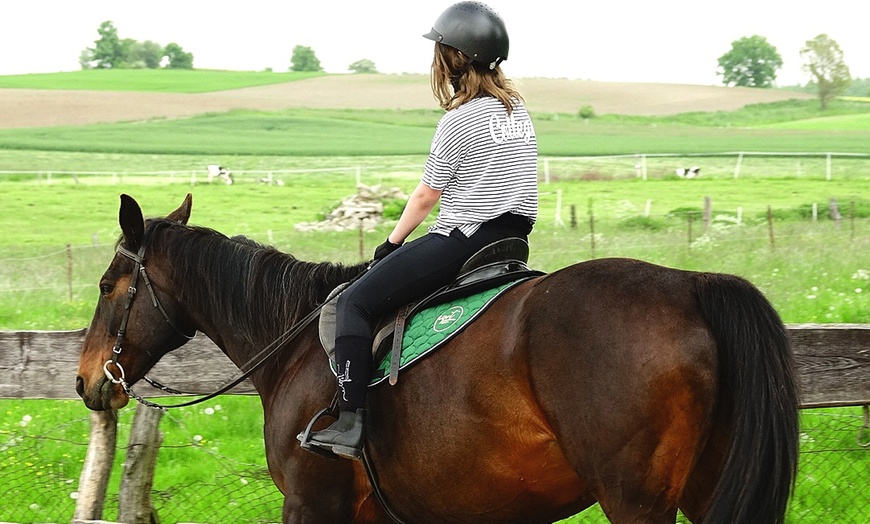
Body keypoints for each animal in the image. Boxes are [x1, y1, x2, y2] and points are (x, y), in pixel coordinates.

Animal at [78, 195, 800, 524]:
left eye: (108, 286)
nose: (87, 381)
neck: (295, 344)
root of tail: (691, 284)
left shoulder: (313, 506)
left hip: (635, 500)